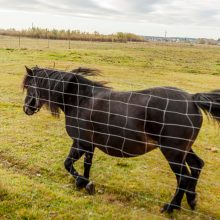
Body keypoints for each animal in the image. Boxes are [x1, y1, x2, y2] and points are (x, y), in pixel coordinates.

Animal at [22, 66, 220, 212]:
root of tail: (192, 99)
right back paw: (191, 200)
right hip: (183, 150)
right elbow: (85, 165)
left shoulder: (81, 143)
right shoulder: (87, 145)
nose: (26, 108)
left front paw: (82, 182)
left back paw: (172, 207)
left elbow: (68, 164)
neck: (80, 100)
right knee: (196, 166)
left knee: (184, 177)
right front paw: (86, 184)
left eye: (30, 86)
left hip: (172, 152)